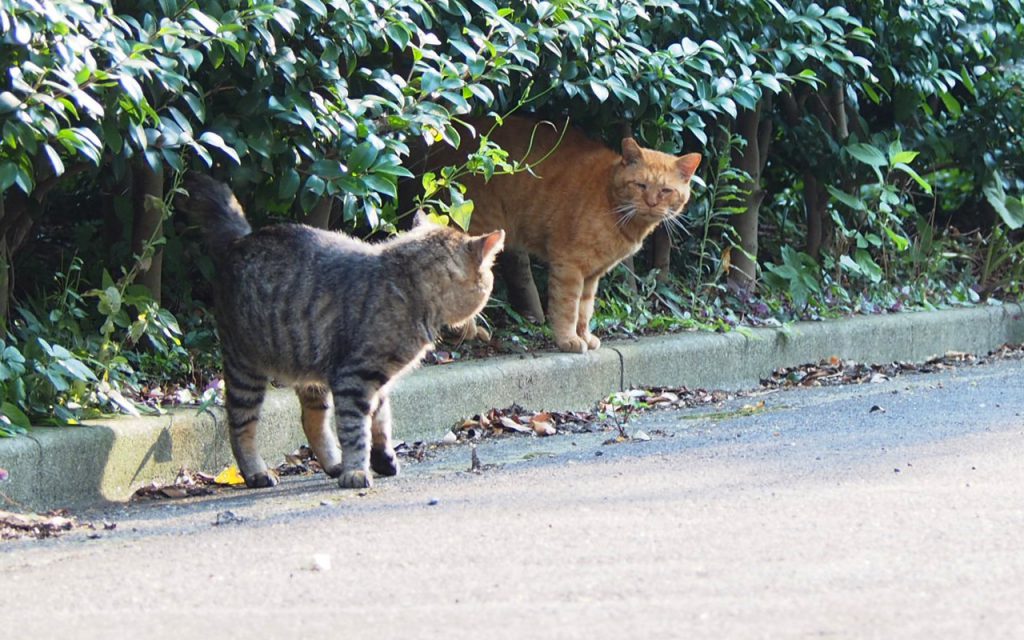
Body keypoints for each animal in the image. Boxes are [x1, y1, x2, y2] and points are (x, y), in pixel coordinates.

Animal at [186, 176, 505, 489]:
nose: (491, 292)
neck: (406, 286)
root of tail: (239, 240)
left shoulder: (374, 382)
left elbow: (380, 423)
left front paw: (381, 460)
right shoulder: (355, 379)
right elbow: (356, 431)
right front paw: (357, 471)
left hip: (309, 368)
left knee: (311, 420)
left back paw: (332, 464)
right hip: (246, 368)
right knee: (240, 424)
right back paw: (256, 473)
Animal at [419, 117, 700, 352]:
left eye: (665, 191)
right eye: (641, 185)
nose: (651, 203)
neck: (612, 203)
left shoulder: (592, 275)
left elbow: (585, 310)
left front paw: (584, 336)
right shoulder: (569, 265)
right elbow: (567, 308)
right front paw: (568, 340)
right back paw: (466, 330)